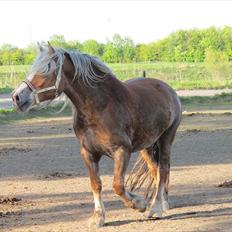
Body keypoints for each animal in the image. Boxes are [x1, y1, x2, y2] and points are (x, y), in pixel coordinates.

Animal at [11, 43, 182, 227]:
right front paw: (98, 217)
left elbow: (118, 185)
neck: (100, 107)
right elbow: (96, 184)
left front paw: (139, 204)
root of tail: (167, 88)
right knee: (155, 170)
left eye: (46, 69)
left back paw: (156, 208)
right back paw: (162, 203)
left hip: (166, 139)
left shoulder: (122, 150)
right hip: (147, 146)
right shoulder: (88, 153)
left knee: (163, 169)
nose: (16, 97)